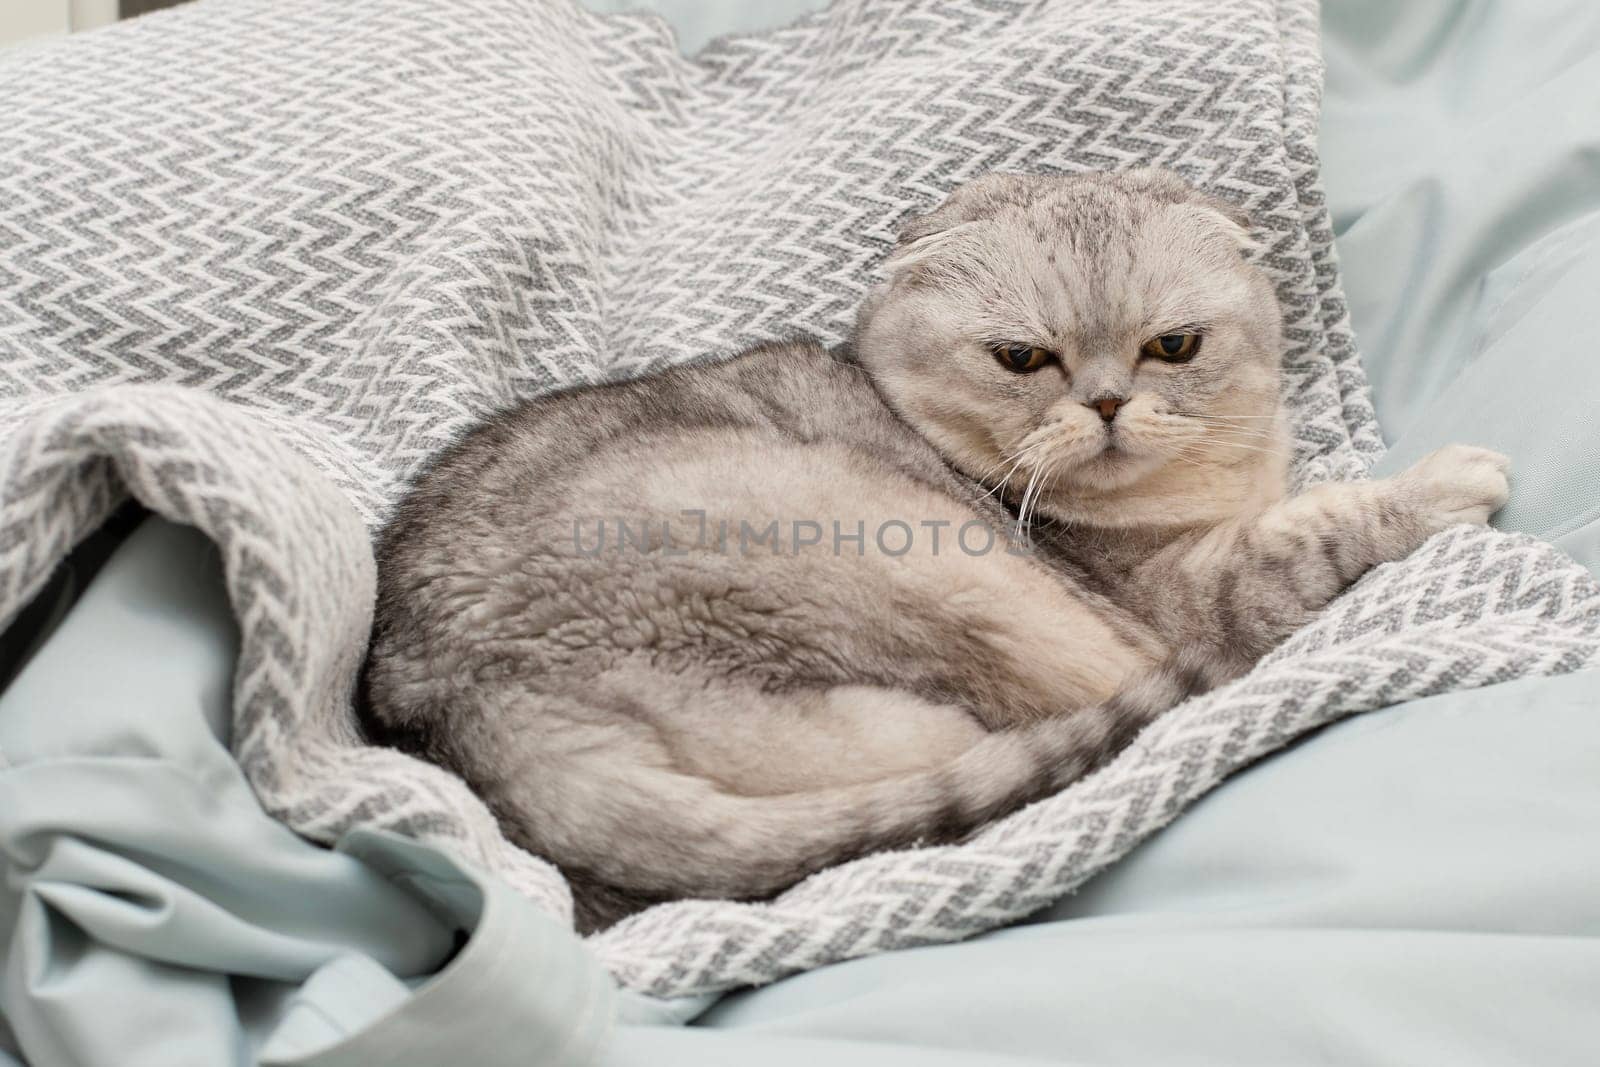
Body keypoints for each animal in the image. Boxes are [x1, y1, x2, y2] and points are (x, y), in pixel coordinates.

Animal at [356, 167, 1504, 927]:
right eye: (1021, 358)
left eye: (1172, 346)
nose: (1106, 404)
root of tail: (467, 699)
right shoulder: (1179, 592)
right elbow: (1320, 527)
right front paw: (1445, 482)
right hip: (936, 569)